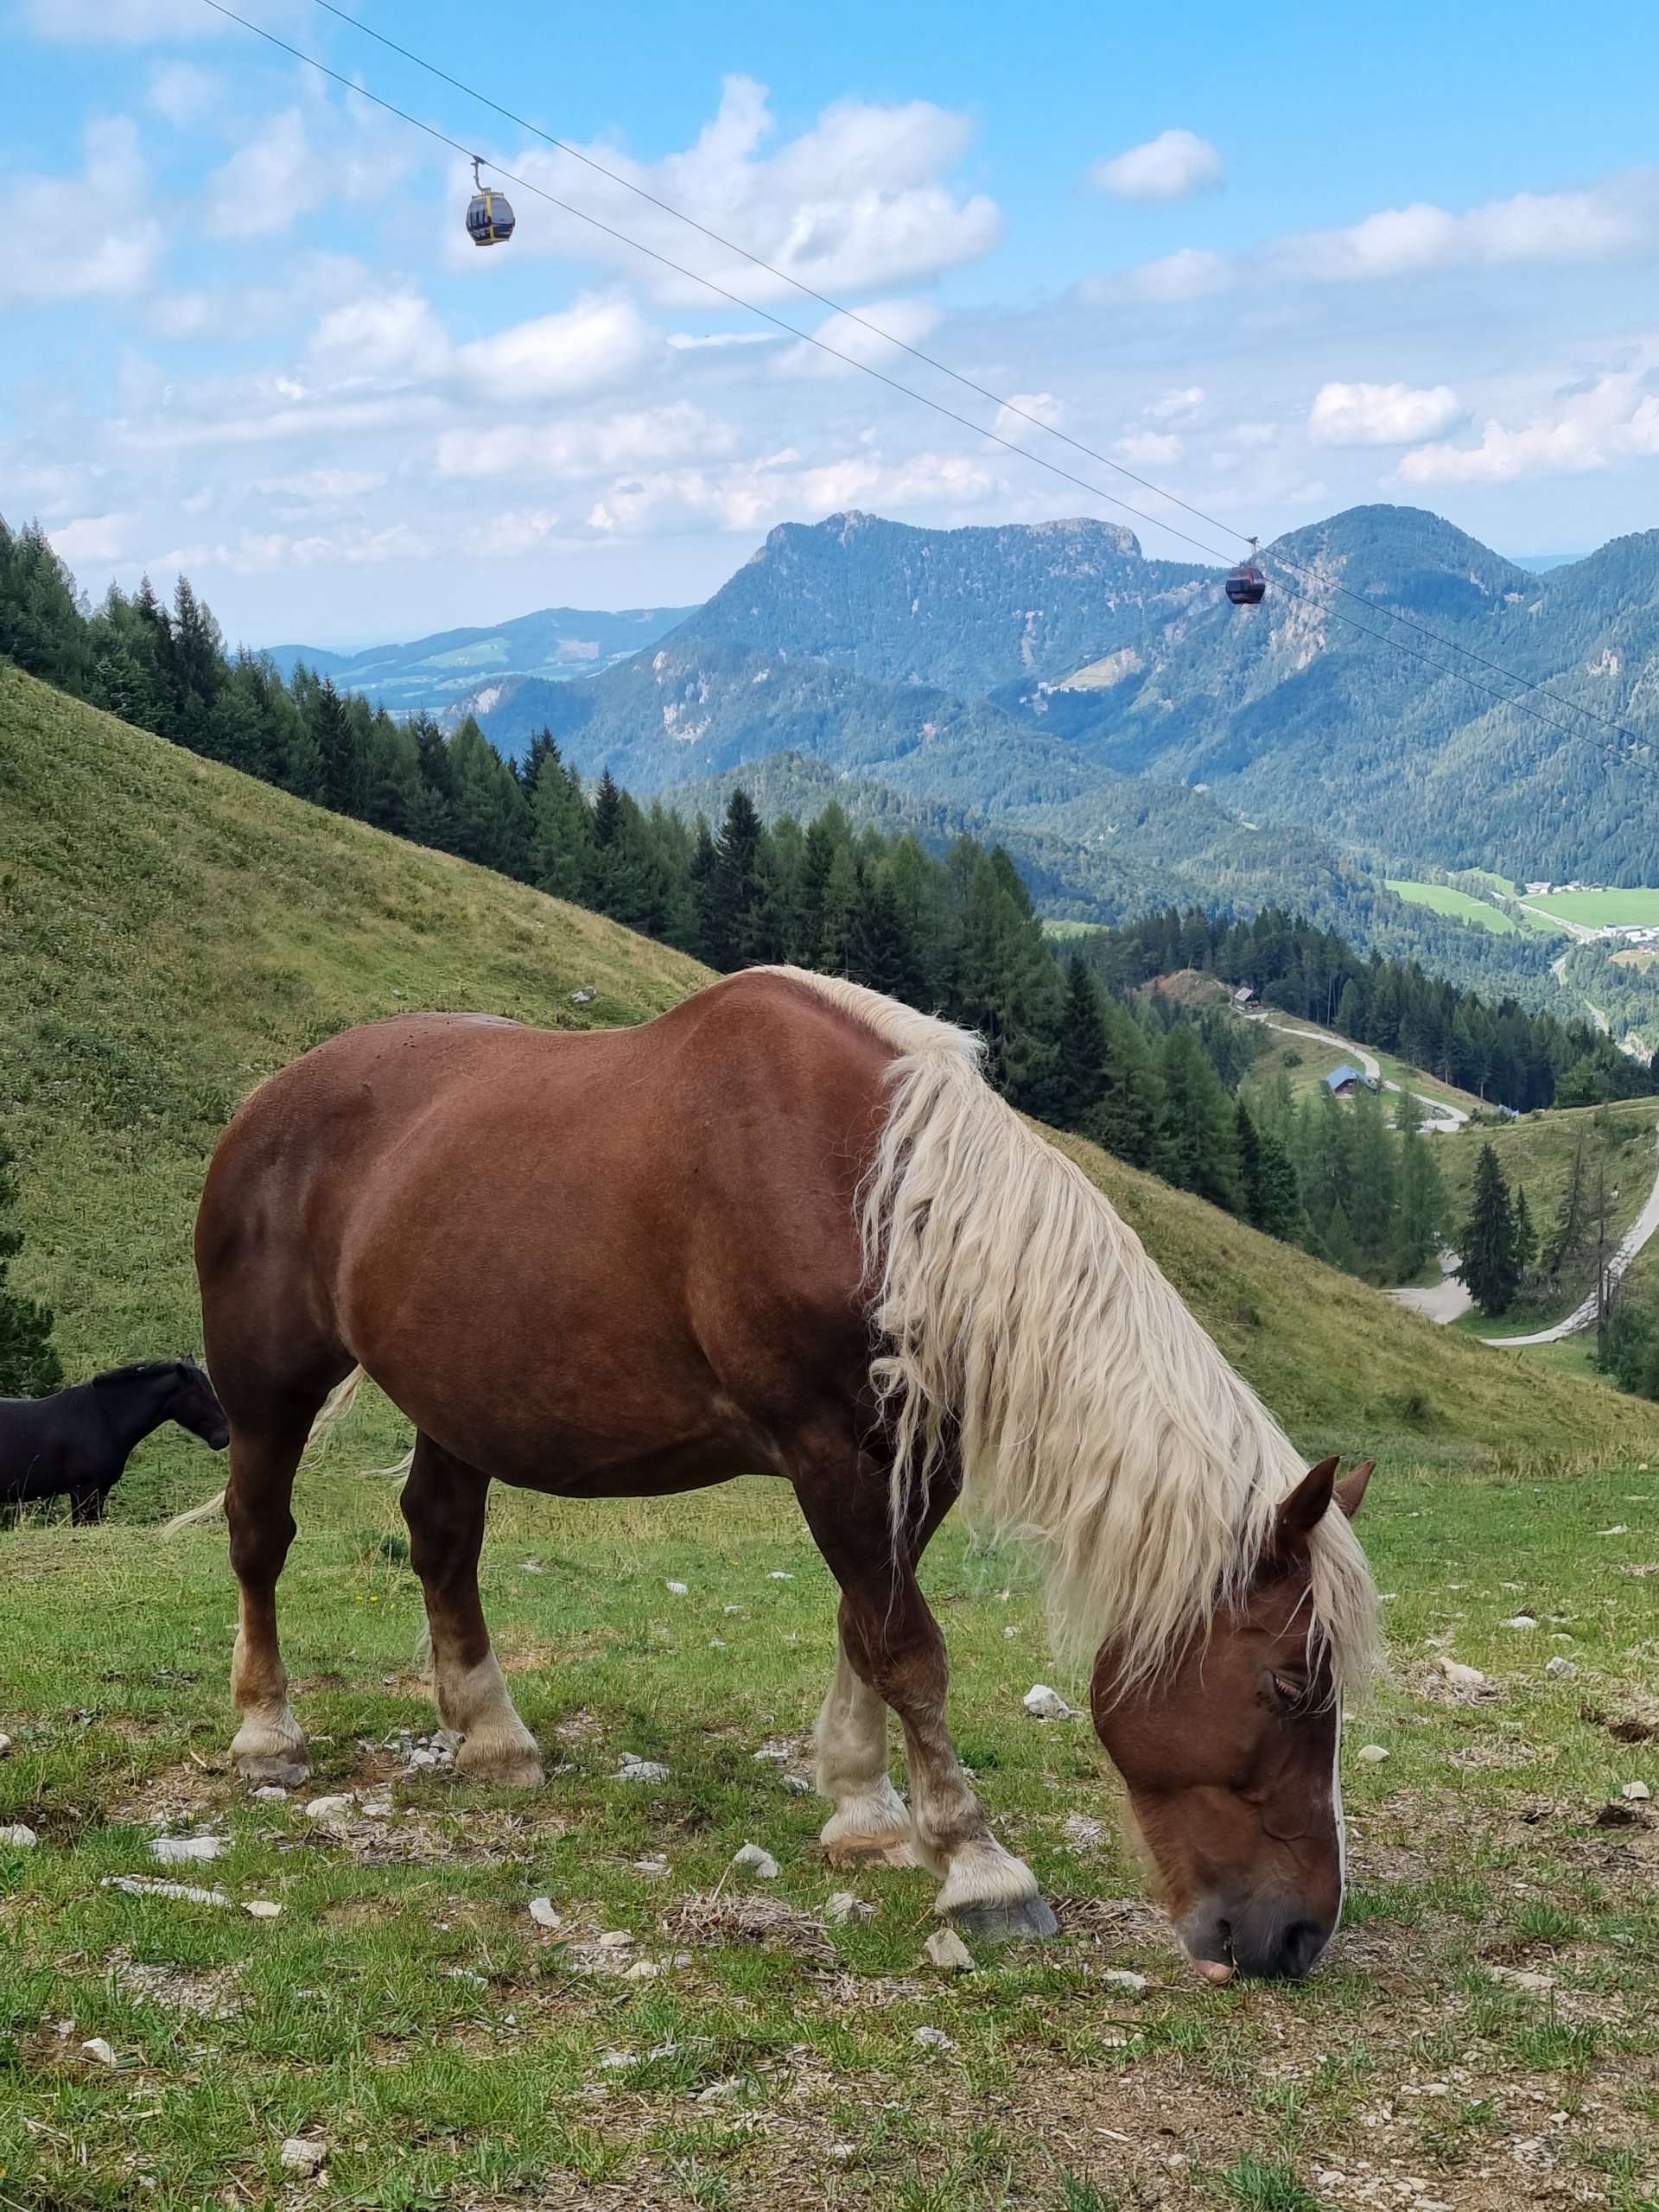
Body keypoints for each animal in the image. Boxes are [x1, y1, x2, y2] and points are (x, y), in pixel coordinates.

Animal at [198, 977, 1380, 1981]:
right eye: (1288, 1687)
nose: (1298, 1935)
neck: (878, 1199)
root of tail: (269, 1098)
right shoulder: (825, 1451)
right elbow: (909, 1649)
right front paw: (979, 1864)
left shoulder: (912, 1465)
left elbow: (869, 1630)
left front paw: (866, 1813)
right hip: (267, 1388)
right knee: (260, 1535)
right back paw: (267, 1733)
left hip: (457, 1397)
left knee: (441, 1534)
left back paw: (492, 1738)